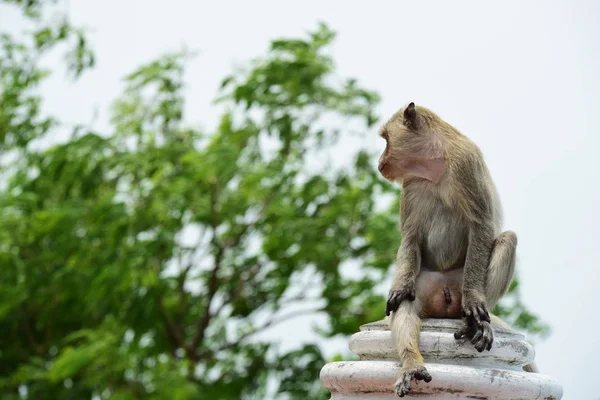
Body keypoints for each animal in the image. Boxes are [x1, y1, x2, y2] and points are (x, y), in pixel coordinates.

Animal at [380, 103, 516, 396]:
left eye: (385, 139)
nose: (380, 161)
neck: (435, 165)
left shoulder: (466, 163)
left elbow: (481, 225)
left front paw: (475, 301)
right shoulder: (411, 184)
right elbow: (410, 238)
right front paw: (399, 286)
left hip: (461, 284)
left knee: (507, 240)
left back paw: (476, 323)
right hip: (427, 284)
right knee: (405, 303)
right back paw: (411, 364)